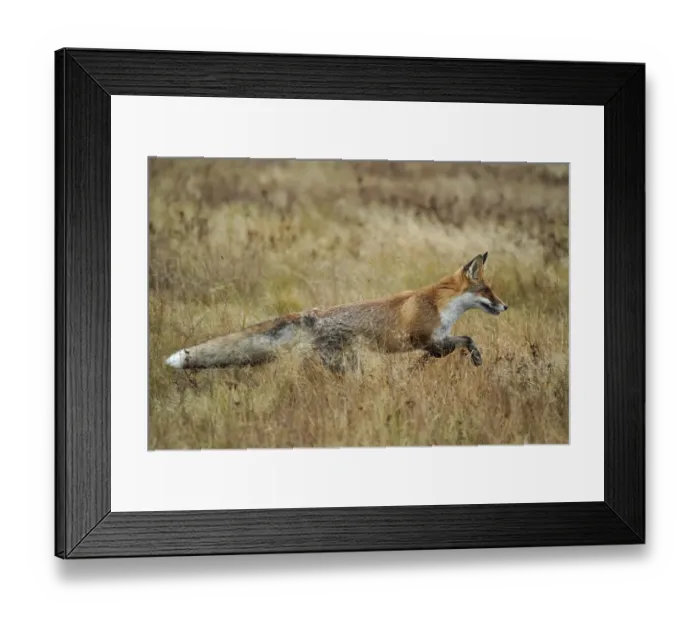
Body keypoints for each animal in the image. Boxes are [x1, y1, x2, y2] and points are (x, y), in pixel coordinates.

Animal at [164, 252, 508, 373]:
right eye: (487, 291)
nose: (505, 306)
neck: (441, 306)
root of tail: (313, 314)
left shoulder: (436, 340)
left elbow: (462, 341)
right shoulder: (425, 339)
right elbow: (462, 341)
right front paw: (473, 357)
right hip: (344, 364)